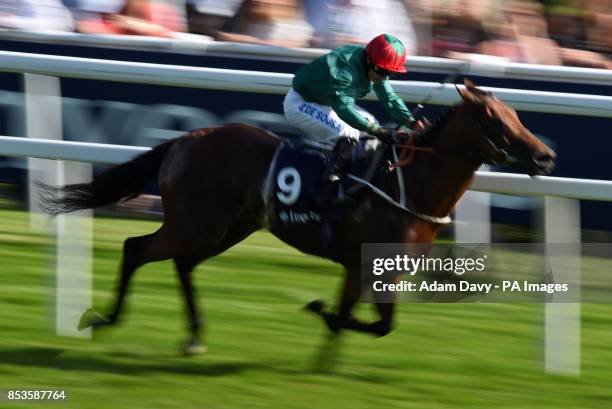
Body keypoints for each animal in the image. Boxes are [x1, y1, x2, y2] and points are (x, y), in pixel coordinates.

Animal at [38, 80, 556, 354]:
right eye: (497, 121)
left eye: (517, 115)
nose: (546, 156)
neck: (408, 181)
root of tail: (186, 139)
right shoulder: (369, 267)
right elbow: (365, 320)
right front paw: (319, 314)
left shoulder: (371, 268)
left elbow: (375, 321)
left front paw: (326, 339)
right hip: (195, 224)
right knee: (136, 250)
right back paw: (101, 318)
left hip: (228, 227)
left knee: (181, 265)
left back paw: (194, 337)